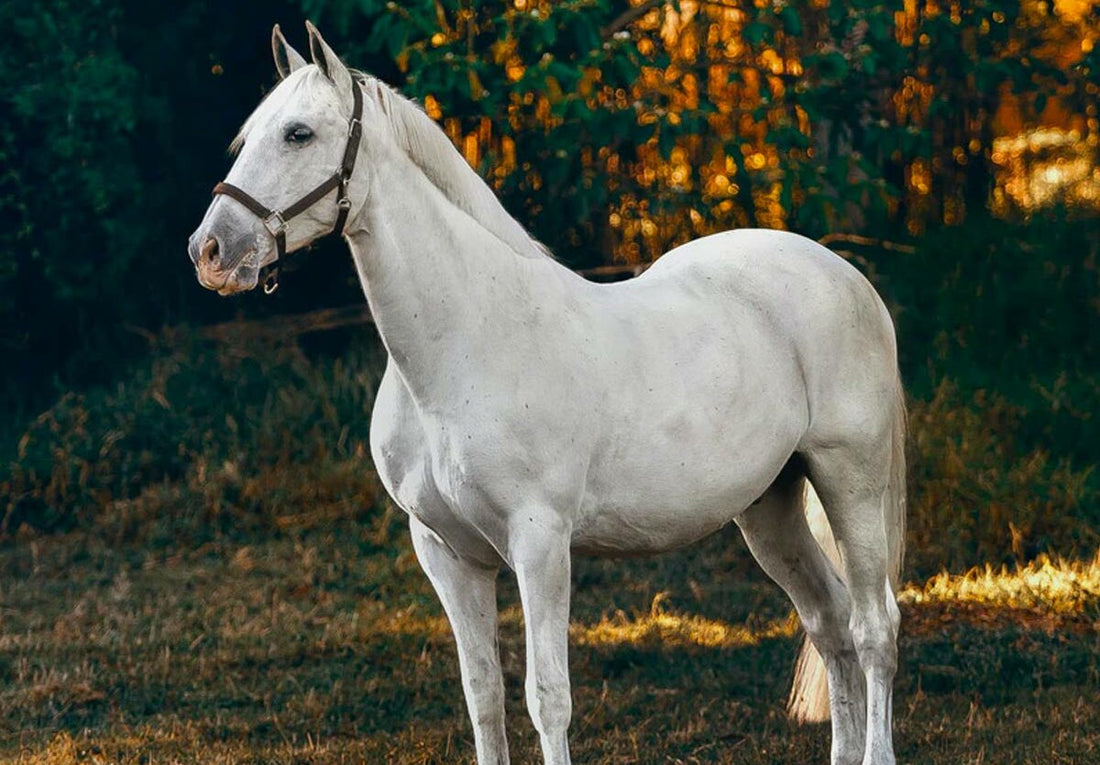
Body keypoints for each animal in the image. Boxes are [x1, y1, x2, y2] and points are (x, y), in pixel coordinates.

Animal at [188, 23, 906, 765]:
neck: (465, 344)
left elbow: (547, 696)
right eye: (249, 137)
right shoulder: (446, 553)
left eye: (298, 133)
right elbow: (482, 694)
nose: (209, 251)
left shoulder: (539, 541)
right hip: (769, 507)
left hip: (849, 480)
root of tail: (845, 274)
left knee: (874, 625)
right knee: (829, 620)